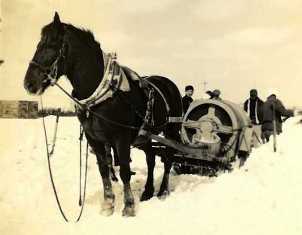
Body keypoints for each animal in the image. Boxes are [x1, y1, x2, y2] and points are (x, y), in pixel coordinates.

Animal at [23, 11, 182, 216]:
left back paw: (162, 191)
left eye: (51, 45)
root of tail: (169, 83)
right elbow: (103, 170)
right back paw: (147, 192)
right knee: (151, 158)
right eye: (38, 44)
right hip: (144, 135)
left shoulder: (121, 138)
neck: (101, 95)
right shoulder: (94, 139)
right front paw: (108, 204)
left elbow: (124, 171)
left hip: (171, 131)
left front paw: (128, 206)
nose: (29, 83)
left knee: (168, 158)